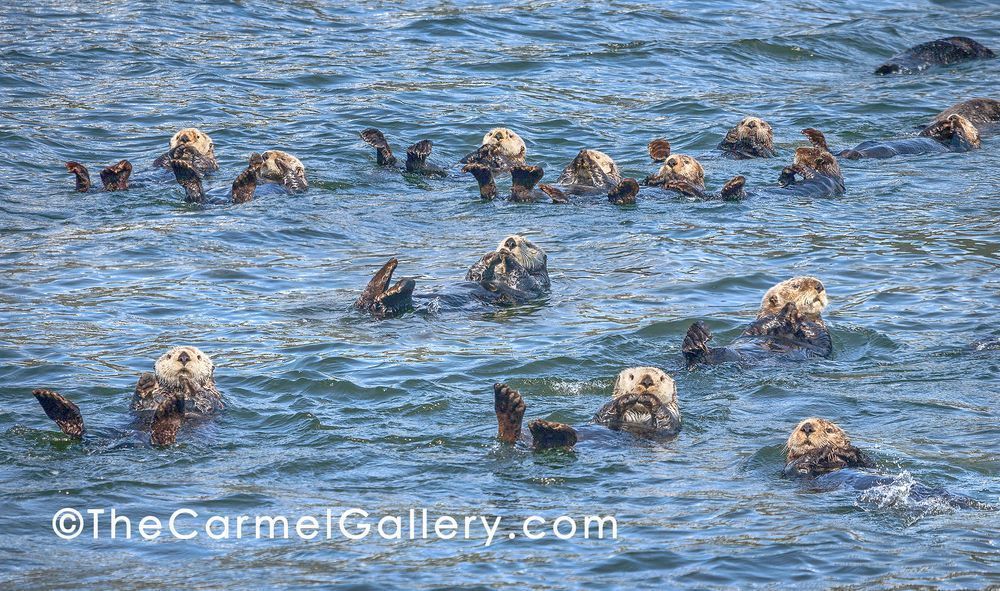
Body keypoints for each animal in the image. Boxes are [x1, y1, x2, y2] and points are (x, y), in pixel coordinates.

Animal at [32, 346, 222, 446]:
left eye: (198, 356)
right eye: (169, 355)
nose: (183, 357)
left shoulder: (214, 398)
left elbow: (204, 399)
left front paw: (191, 383)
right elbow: (139, 401)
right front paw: (146, 381)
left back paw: (169, 413)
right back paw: (56, 405)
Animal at [494, 367, 681, 451]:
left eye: (661, 378)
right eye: (632, 376)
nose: (647, 381)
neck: (638, 415)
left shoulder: (673, 422)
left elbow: (666, 421)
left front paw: (650, 399)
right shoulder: (602, 416)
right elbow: (605, 414)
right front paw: (626, 398)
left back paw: (550, 432)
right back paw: (508, 404)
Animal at [682, 276, 832, 368]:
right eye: (796, 286)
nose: (819, 286)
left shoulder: (821, 330)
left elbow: (819, 337)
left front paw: (799, 316)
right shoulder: (757, 325)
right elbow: (758, 327)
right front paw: (786, 310)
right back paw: (696, 335)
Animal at [782, 418, 991, 510]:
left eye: (829, 429)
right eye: (798, 425)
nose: (807, 427)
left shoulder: (866, 464)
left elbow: (865, 461)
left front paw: (849, 451)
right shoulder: (791, 469)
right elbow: (800, 464)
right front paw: (824, 450)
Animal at [838, 114, 980, 159]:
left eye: (965, 122)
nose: (953, 117)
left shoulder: (961, 145)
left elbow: (961, 140)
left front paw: (956, 128)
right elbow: (925, 133)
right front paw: (943, 123)